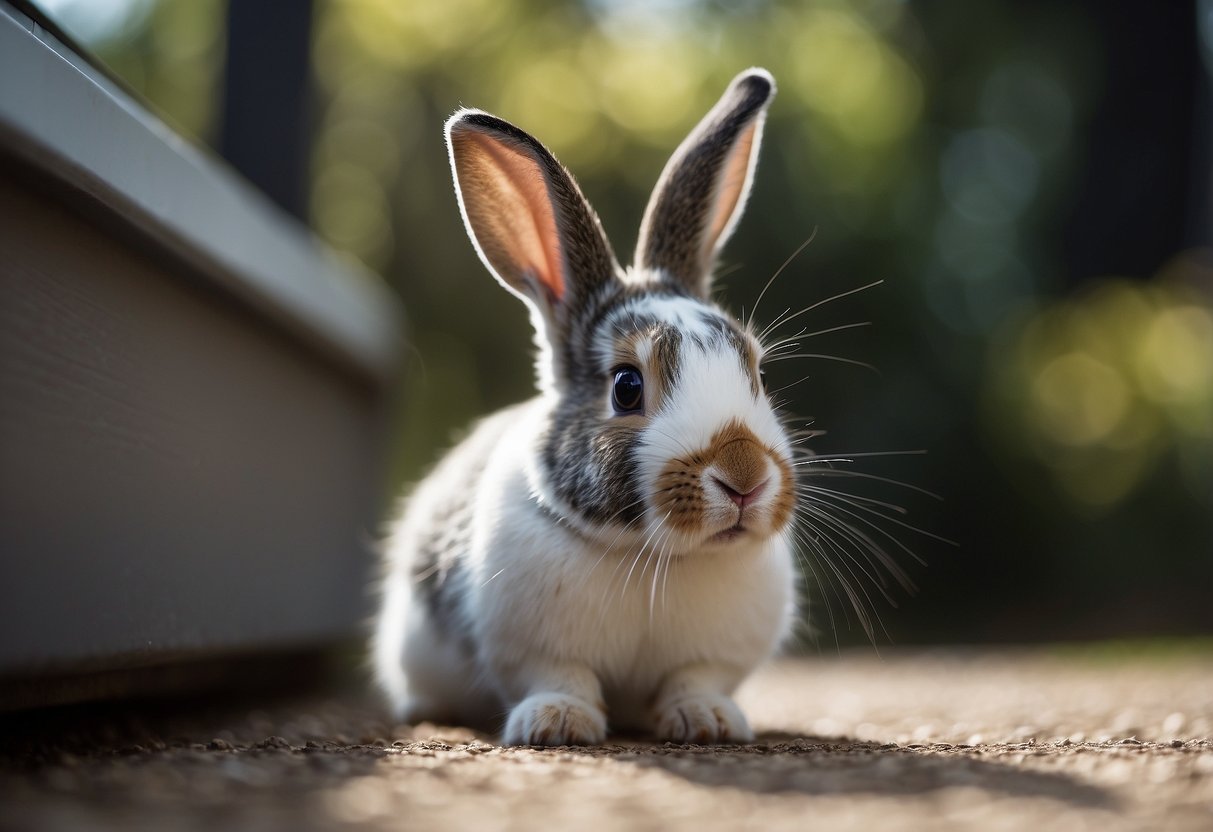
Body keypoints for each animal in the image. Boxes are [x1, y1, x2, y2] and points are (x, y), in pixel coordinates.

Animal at [373, 68, 800, 747]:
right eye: (626, 387)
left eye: (756, 370)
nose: (744, 477)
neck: (654, 556)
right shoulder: (535, 649)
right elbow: (560, 678)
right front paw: (557, 724)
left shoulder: (709, 657)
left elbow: (694, 679)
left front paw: (708, 721)